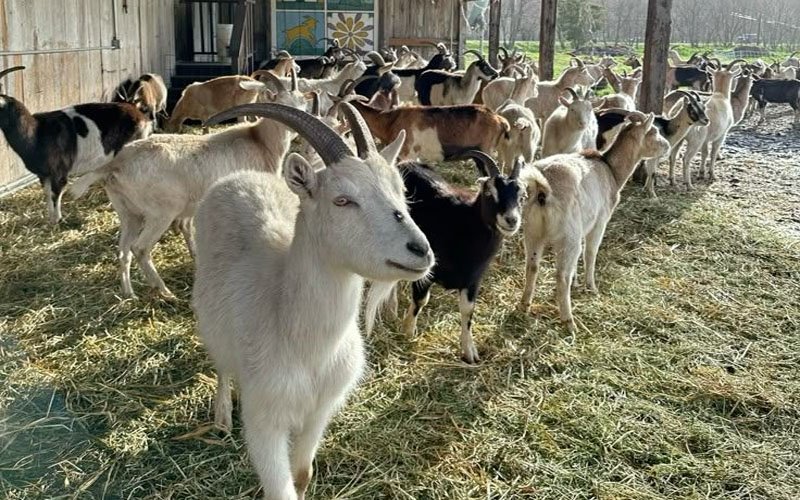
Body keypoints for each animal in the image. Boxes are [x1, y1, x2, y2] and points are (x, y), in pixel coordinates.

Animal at [0, 66, 152, 224]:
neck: (36, 132)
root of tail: (138, 113)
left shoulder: (59, 172)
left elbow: (55, 194)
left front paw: (57, 220)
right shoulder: (43, 174)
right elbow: (47, 194)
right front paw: (50, 219)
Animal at [68, 73, 309, 299]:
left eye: (301, 103)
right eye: (282, 103)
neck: (260, 141)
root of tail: (117, 162)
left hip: (128, 212)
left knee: (123, 250)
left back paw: (129, 293)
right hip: (162, 211)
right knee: (140, 248)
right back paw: (165, 291)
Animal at [192, 102, 433, 499]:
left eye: (401, 191)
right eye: (343, 200)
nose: (421, 250)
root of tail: (240, 176)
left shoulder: (320, 411)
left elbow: (302, 476)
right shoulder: (265, 423)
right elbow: (280, 489)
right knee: (223, 364)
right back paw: (222, 415)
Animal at [383, 152, 525, 363]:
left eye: (522, 196)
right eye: (489, 193)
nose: (511, 220)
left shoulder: (473, 280)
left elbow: (467, 310)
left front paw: (469, 351)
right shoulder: (426, 271)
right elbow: (420, 301)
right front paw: (407, 331)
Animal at [519, 112, 669, 332]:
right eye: (654, 131)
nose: (667, 146)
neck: (612, 171)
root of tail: (542, 188)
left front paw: (576, 282)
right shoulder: (599, 222)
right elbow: (591, 253)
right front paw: (591, 287)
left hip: (532, 230)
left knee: (532, 266)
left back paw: (524, 305)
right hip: (568, 235)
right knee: (561, 275)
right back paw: (569, 322)